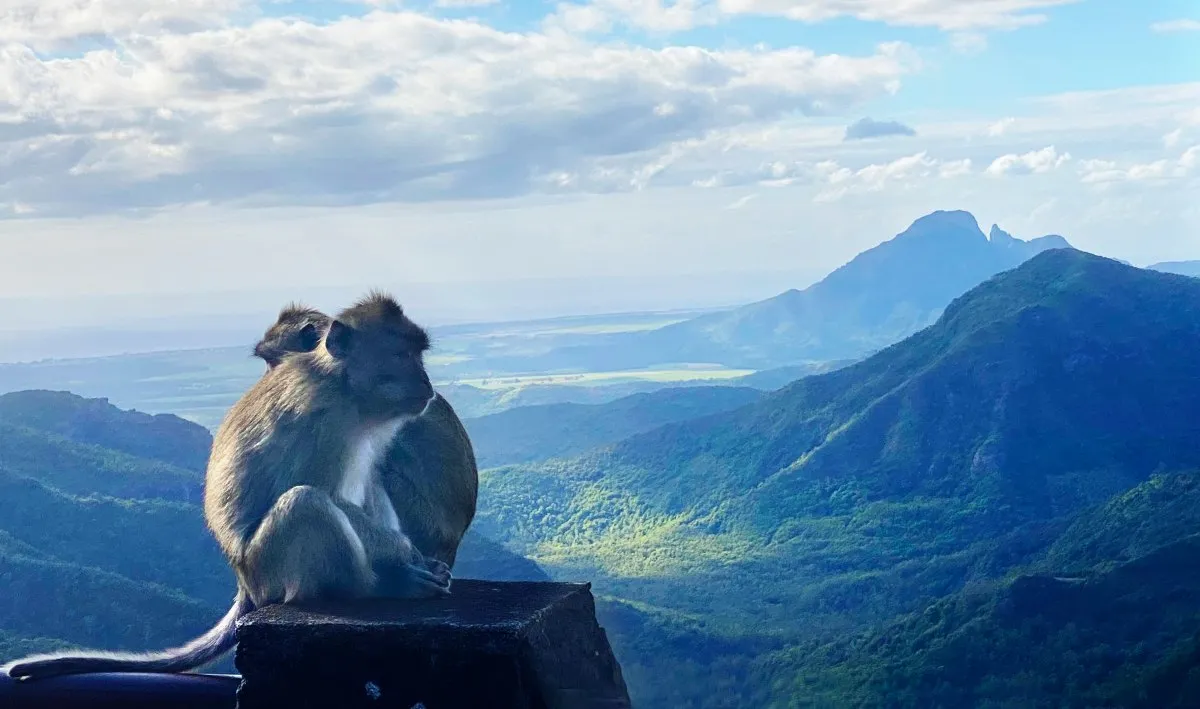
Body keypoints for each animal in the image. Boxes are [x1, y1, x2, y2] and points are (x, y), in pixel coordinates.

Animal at [4, 292, 450, 682]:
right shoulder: (325, 419)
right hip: (270, 568)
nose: (427, 384)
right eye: (403, 355)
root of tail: (244, 584)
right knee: (306, 504)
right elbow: (328, 493)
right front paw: (407, 555)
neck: (342, 384)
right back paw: (376, 587)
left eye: (419, 353)